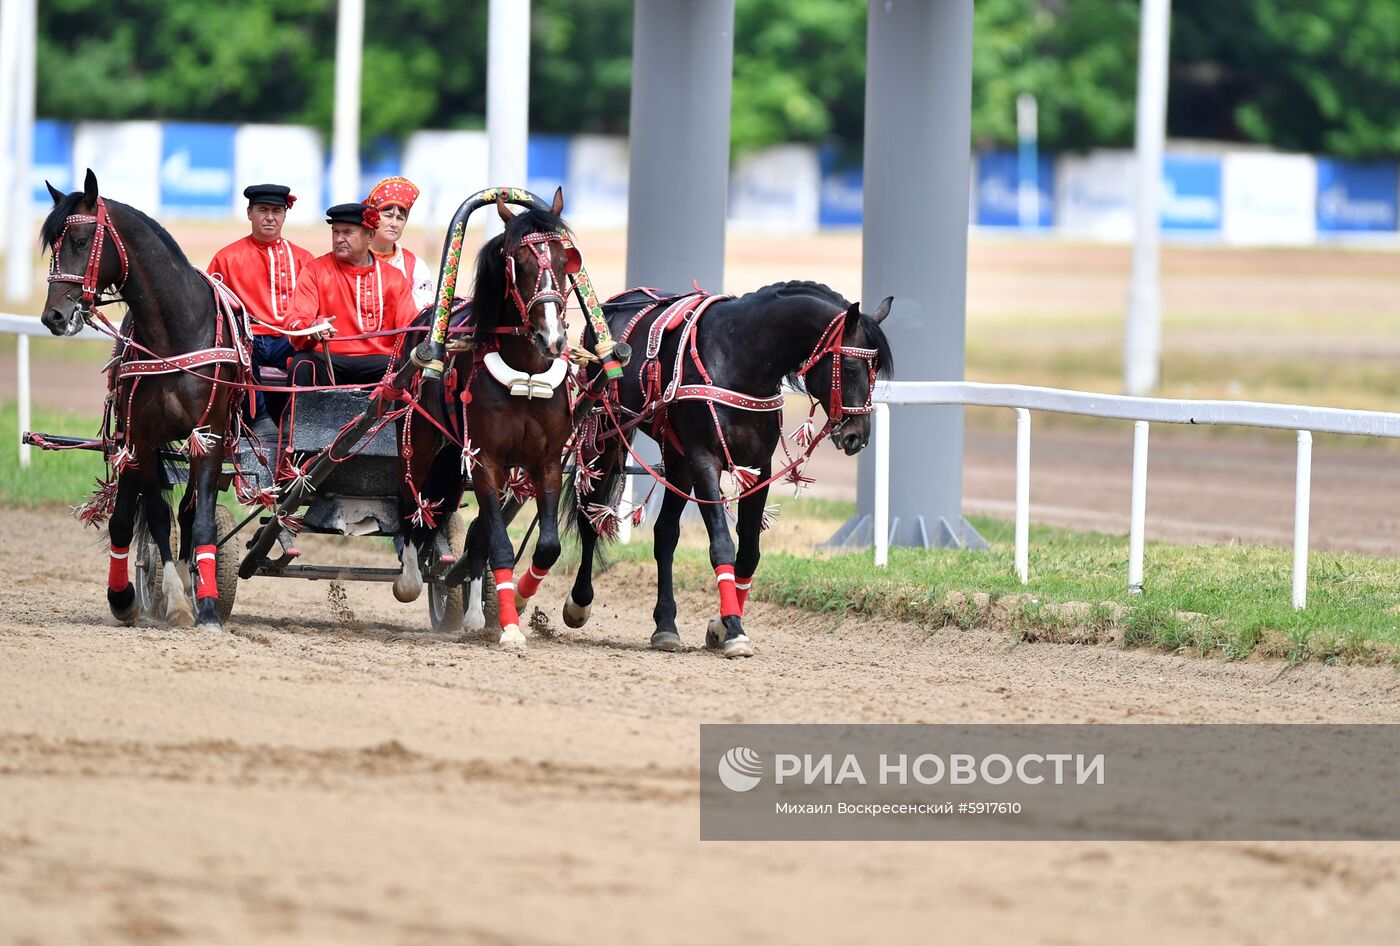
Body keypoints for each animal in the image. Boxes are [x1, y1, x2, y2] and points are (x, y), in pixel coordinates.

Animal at [39, 169, 243, 632]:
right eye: (53, 247)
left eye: (81, 241)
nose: (53, 317)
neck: (174, 335)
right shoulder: (142, 439)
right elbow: (144, 518)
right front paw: (154, 599)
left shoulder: (210, 437)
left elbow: (201, 523)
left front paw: (206, 606)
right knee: (141, 517)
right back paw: (150, 595)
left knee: (187, 514)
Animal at [397, 188, 582, 654]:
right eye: (521, 264)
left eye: (564, 259)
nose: (553, 338)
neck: (525, 374)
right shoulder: (485, 460)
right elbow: (499, 544)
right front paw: (512, 628)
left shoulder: (545, 462)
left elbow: (545, 547)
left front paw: (516, 597)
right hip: (422, 440)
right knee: (410, 501)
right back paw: (410, 574)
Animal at [562, 281, 890, 657]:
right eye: (849, 367)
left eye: (875, 372)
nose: (857, 436)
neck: (739, 357)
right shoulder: (704, 460)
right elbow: (722, 544)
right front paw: (734, 629)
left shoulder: (758, 467)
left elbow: (748, 553)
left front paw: (721, 624)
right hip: (606, 432)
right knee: (590, 516)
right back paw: (579, 602)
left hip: (677, 460)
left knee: (665, 534)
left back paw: (666, 624)